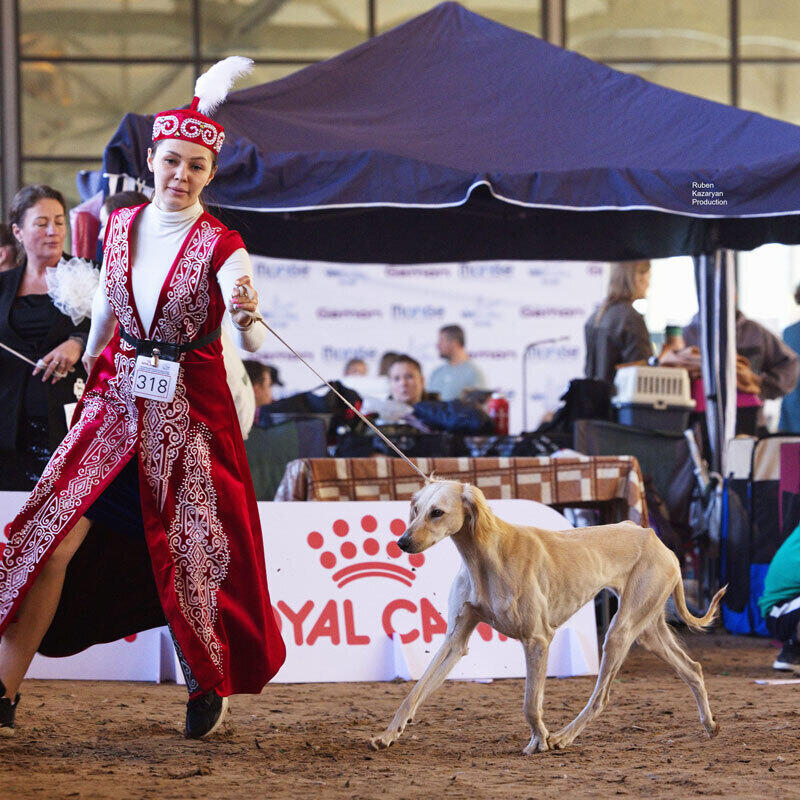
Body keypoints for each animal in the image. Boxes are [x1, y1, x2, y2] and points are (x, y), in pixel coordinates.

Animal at [368, 478, 724, 752]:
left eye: (437, 512)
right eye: (416, 510)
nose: (402, 542)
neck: (486, 555)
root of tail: (657, 541)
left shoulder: (537, 638)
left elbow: (529, 704)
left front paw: (540, 739)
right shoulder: (456, 641)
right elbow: (413, 693)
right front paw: (388, 734)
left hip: (619, 632)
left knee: (602, 696)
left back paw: (564, 737)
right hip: (648, 630)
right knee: (692, 669)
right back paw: (709, 724)